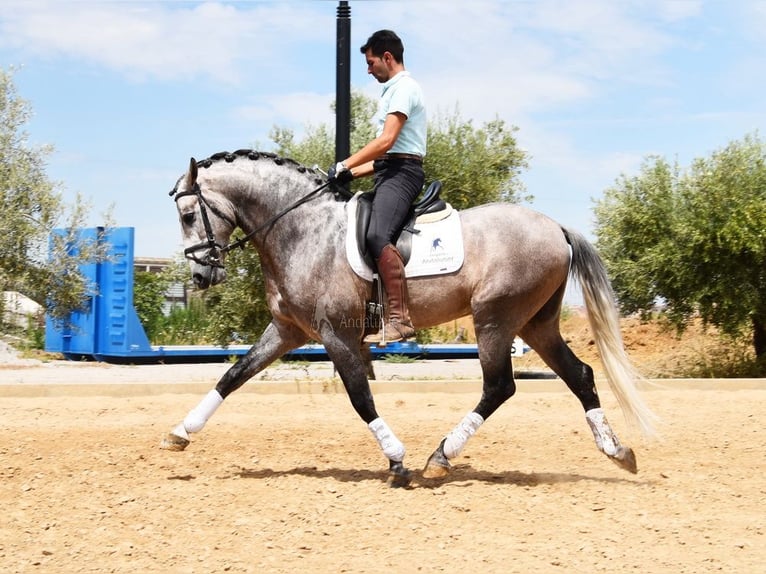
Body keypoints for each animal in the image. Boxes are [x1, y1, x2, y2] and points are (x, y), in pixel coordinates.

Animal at [159, 151, 656, 488]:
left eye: (188, 214)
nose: (201, 275)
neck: (301, 230)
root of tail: (556, 227)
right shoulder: (287, 331)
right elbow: (232, 376)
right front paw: (179, 433)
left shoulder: (336, 335)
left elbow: (360, 398)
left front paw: (397, 460)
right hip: (535, 323)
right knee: (580, 374)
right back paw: (617, 450)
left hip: (494, 318)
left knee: (499, 386)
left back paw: (440, 458)